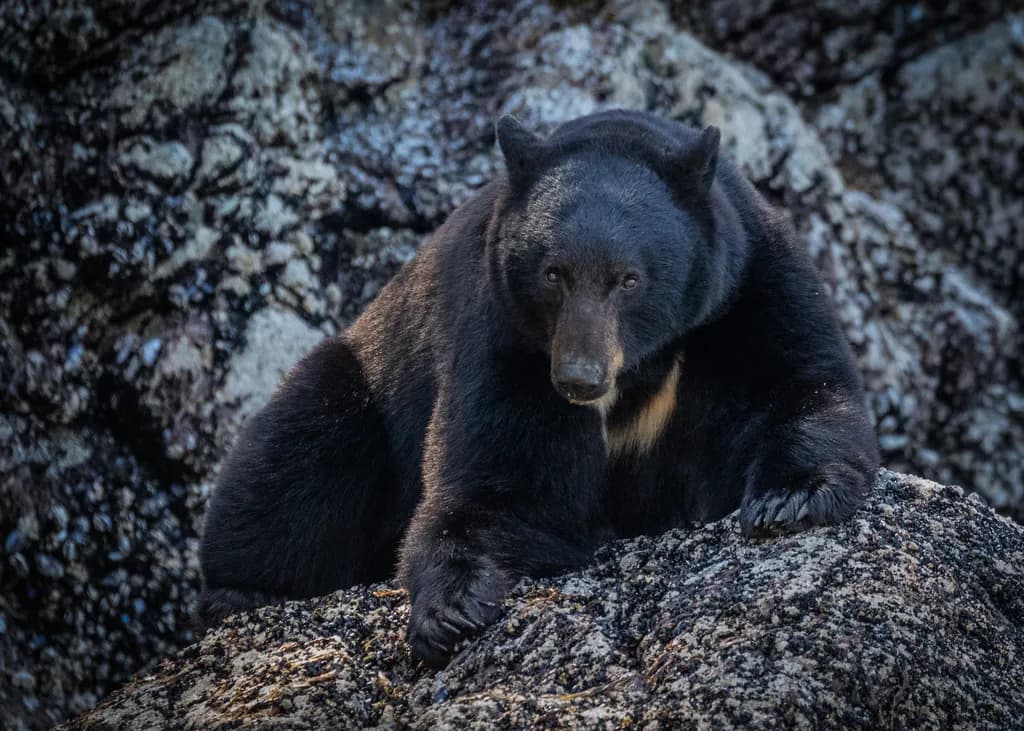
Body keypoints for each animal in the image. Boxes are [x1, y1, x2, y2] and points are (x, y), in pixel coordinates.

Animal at [199, 109, 880, 667]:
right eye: (554, 273)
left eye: (629, 279)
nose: (579, 378)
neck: (639, 367)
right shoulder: (504, 333)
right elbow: (501, 478)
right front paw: (455, 608)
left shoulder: (746, 285)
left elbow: (798, 380)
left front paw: (790, 500)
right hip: (364, 372)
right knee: (298, 450)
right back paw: (240, 592)